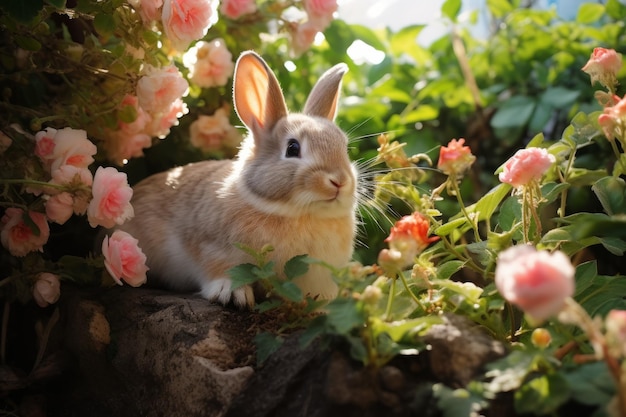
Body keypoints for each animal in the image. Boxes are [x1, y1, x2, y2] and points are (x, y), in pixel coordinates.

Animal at [116, 50, 356, 308]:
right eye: (293, 148)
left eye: (344, 147)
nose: (339, 181)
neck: (298, 213)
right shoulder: (213, 248)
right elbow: (222, 270)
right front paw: (232, 295)